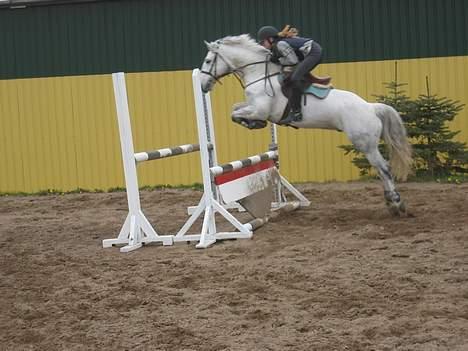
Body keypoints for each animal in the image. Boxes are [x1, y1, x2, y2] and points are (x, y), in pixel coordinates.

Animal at [199, 34, 412, 214]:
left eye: (208, 61)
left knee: (383, 168)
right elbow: (235, 108)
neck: (259, 73)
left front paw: (252, 123)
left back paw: (396, 203)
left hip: (365, 144)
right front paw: (253, 123)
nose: (202, 85)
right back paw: (390, 201)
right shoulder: (253, 107)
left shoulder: (260, 109)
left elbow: (235, 113)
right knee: (381, 169)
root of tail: (371, 107)